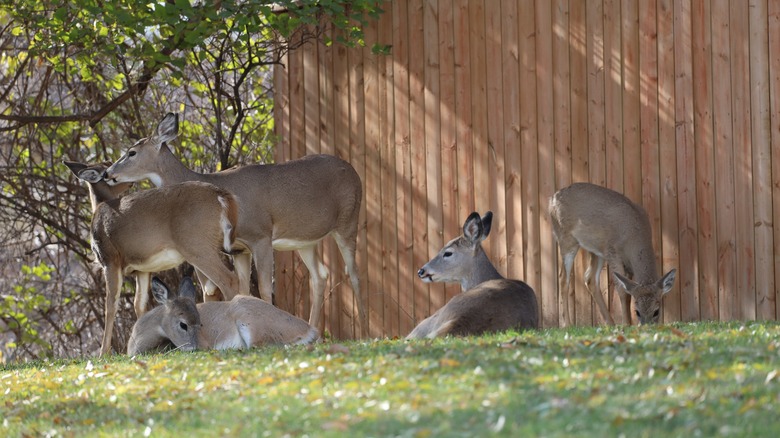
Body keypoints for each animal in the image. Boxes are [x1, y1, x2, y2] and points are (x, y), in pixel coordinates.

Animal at [64, 161, 241, 356]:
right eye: (106, 170)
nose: (127, 182)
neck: (99, 207)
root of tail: (222, 196)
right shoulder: (141, 269)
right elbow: (139, 304)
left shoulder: (110, 259)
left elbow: (110, 305)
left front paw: (104, 353)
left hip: (196, 245)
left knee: (229, 279)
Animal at [102, 113, 368, 336]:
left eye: (132, 152)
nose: (107, 173)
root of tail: (354, 171)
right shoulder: (239, 249)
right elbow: (240, 289)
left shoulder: (260, 235)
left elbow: (263, 288)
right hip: (305, 241)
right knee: (320, 275)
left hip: (348, 220)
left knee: (354, 273)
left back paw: (365, 333)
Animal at [548, 181, 676, 326]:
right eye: (637, 312)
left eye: (656, 311)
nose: (646, 326)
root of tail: (552, 199)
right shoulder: (612, 252)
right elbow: (622, 290)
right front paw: (626, 324)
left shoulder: (625, 264)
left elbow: (627, 293)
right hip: (566, 239)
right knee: (563, 278)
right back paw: (567, 324)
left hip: (596, 251)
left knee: (589, 278)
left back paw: (610, 323)